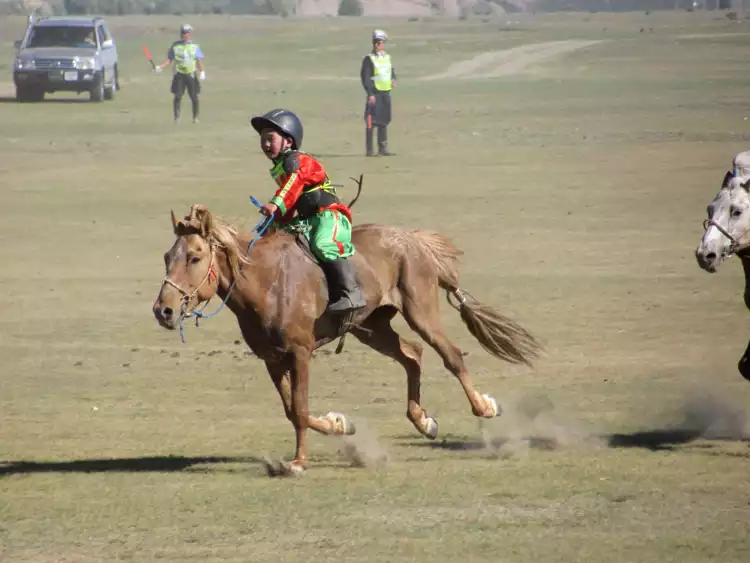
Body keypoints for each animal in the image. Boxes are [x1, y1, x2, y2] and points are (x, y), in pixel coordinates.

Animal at [152, 204, 541, 473]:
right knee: (412, 354)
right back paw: (423, 421)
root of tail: (412, 239)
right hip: (372, 328)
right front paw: (338, 423)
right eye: (167, 256)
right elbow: (292, 410)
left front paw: (298, 463)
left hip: (420, 313)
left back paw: (485, 407)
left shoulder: (301, 353)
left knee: (452, 355)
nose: (164, 310)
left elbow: (300, 408)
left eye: (194, 257)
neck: (267, 283)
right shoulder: (273, 360)